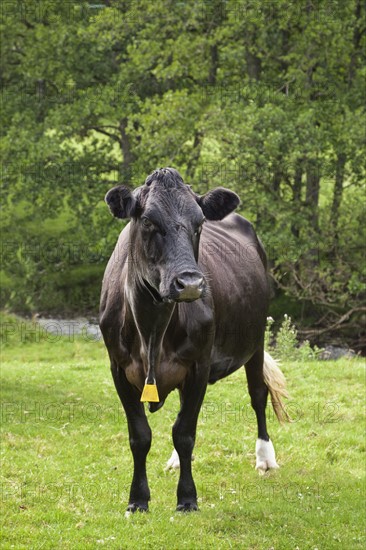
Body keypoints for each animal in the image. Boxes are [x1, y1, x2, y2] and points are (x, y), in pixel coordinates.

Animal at [100, 167, 288, 512]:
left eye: (199, 223)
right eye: (148, 221)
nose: (189, 283)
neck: (152, 328)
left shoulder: (199, 364)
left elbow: (185, 432)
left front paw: (187, 498)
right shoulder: (118, 367)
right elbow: (140, 435)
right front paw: (138, 499)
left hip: (255, 341)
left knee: (258, 395)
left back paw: (265, 458)